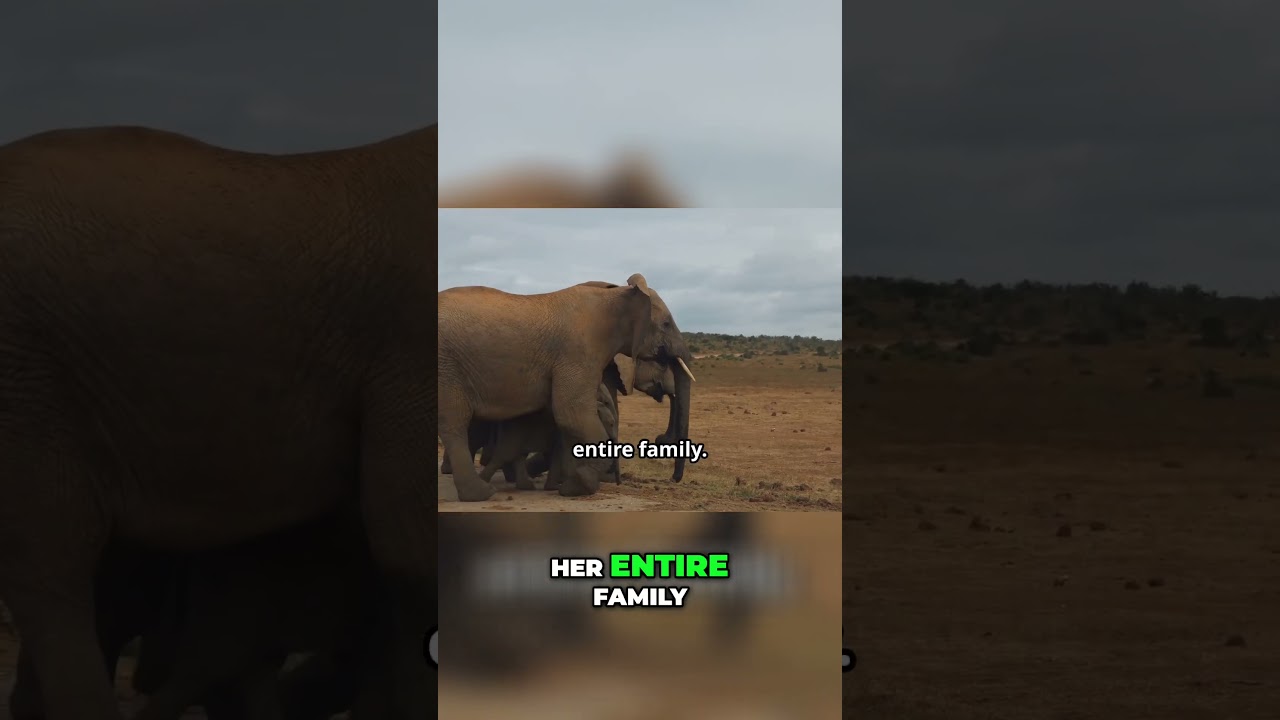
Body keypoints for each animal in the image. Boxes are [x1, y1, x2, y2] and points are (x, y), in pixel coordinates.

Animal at [438, 274, 695, 501]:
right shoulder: (578, 353)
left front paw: (568, 483)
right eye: (666, 324)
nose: (673, 479)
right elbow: (572, 414)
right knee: (455, 422)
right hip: (448, 365)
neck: (617, 295)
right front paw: (575, 487)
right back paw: (481, 494)